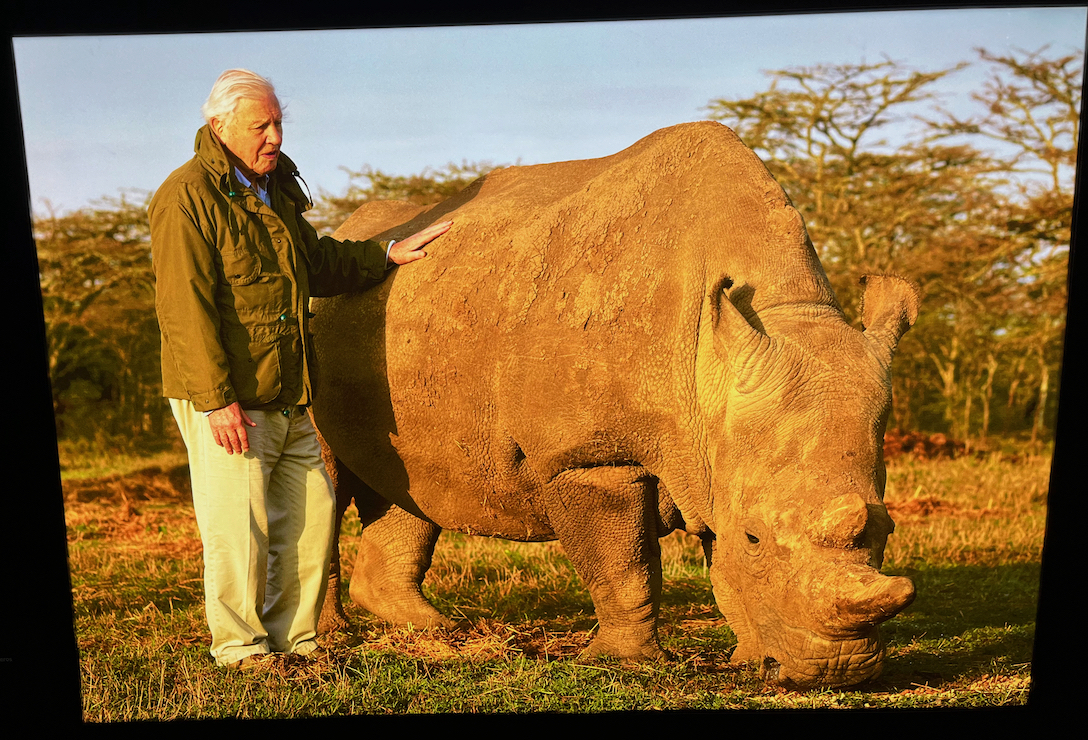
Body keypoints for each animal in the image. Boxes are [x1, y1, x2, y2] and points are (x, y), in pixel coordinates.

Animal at [309, 121, 918, 689]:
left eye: (887, 531)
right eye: (755, 537)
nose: (837, 670)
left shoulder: (717, 449)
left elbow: (723, 569)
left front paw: (750, 661)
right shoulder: (590, 454)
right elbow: (624, 565)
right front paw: (627, 663)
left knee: (410, 482)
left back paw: (434, 630)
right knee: (325, 479)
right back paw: (331, 641)